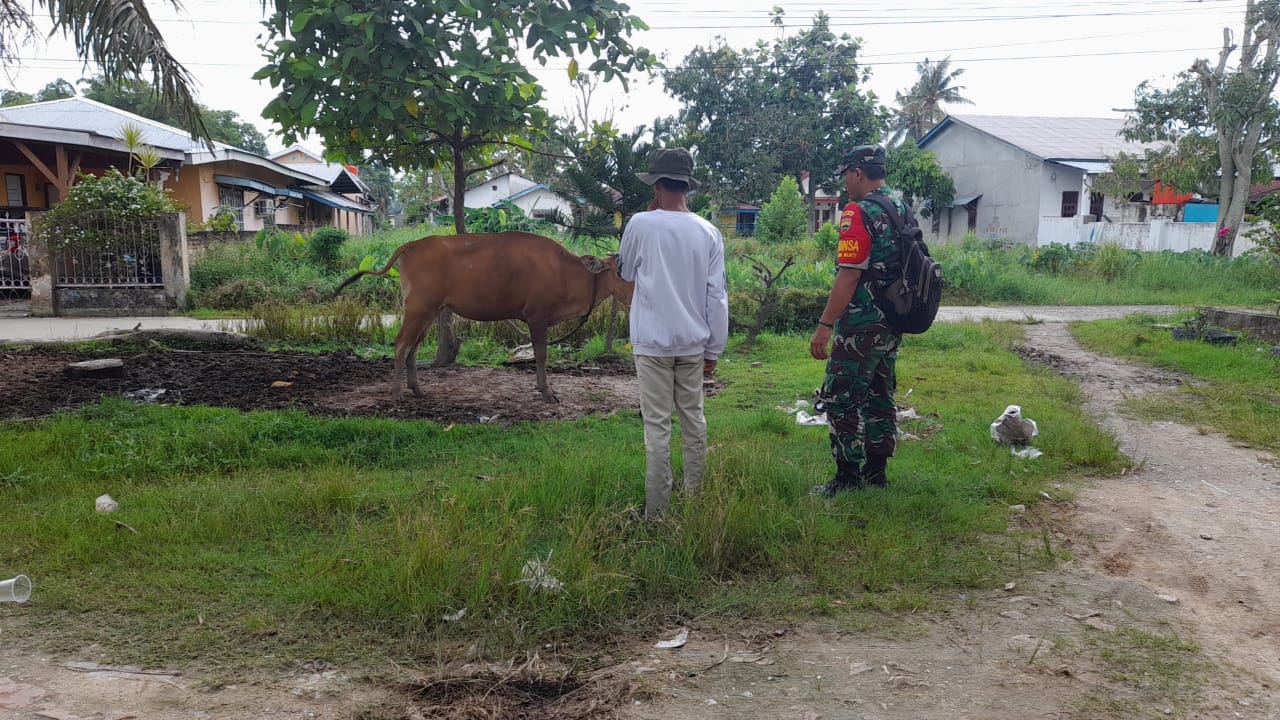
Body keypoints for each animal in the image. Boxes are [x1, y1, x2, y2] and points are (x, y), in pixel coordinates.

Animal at [335, 229, 634, 399]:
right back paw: (397, 394)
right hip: (418, 308)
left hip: (430, 312)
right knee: (401, 344)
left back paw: (418, 390)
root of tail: (412, 244)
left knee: (413, 347)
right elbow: (541, 355)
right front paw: (547, 392)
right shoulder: (537, 318)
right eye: (620, 272)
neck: (567, 272)